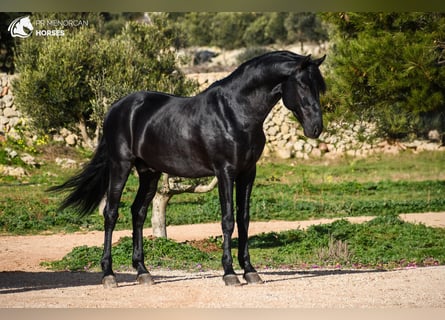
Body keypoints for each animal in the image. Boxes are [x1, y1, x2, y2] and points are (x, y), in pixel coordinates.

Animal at [50, 50, 326, 288]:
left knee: (138, 212)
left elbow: (244, 219)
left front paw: (249, 271)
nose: (316, 128)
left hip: (149, 172)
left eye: (318, 86)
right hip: (121, 165)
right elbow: (228, 220)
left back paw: (143, 272)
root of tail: (116, 108)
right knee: (111, 213)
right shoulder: (225, 172)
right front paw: (229, 273)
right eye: (303, 85)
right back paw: (108, 274)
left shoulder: (248, 173)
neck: (235, 112)